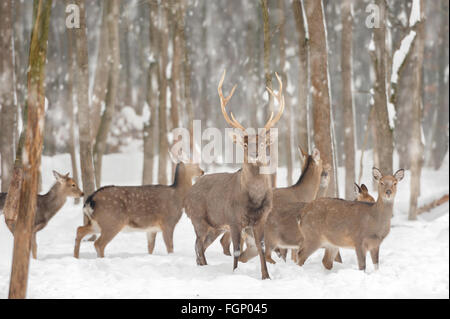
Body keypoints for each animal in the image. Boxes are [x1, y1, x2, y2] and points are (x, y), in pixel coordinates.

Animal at [73, 151, 203, 258]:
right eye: (195, 164)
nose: (202, 171)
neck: (178, 196)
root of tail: (90, 200)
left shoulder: (152, 228)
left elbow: (150, 247)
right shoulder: (168, 222)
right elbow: (170, 246)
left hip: (97, 222)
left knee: (80, 230)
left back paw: (76, 257)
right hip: (112, 221)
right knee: (98, 243)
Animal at [182, 70, 284, 280]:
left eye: (263, 142)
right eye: (245, 143)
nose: (254, 153)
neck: (254, 200)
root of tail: (187, 195)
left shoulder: (261, 219)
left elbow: (262, 247)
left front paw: (266, 276)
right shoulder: (234, 218)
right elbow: (236, 249)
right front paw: (236, 273)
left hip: (215, 226)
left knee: (200, 245)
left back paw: (203, 266)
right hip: (198, 218)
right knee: (198, 245)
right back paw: (204, 267)